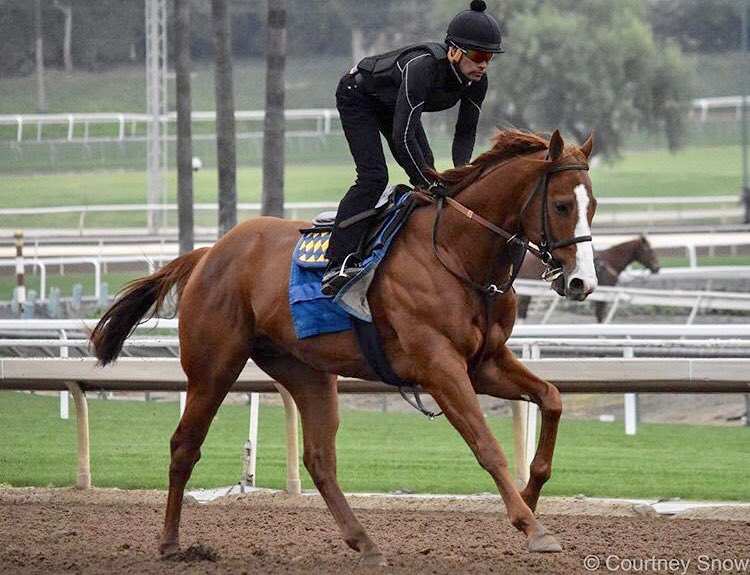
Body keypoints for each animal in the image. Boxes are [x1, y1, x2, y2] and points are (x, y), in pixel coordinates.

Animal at [90, 128, 596, 566]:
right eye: (561, 204)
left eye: (593, 205)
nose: (581, 283)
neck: (456, 252)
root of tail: (208, 253)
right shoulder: (439, 366)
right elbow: (487, 446)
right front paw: (532, 527)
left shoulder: (484, 363)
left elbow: (551, 398)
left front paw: (531, 494)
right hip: (213, 368)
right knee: (184, 446)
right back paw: (171, 543)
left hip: (306, 372)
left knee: (319, 458)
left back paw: (365, 542)